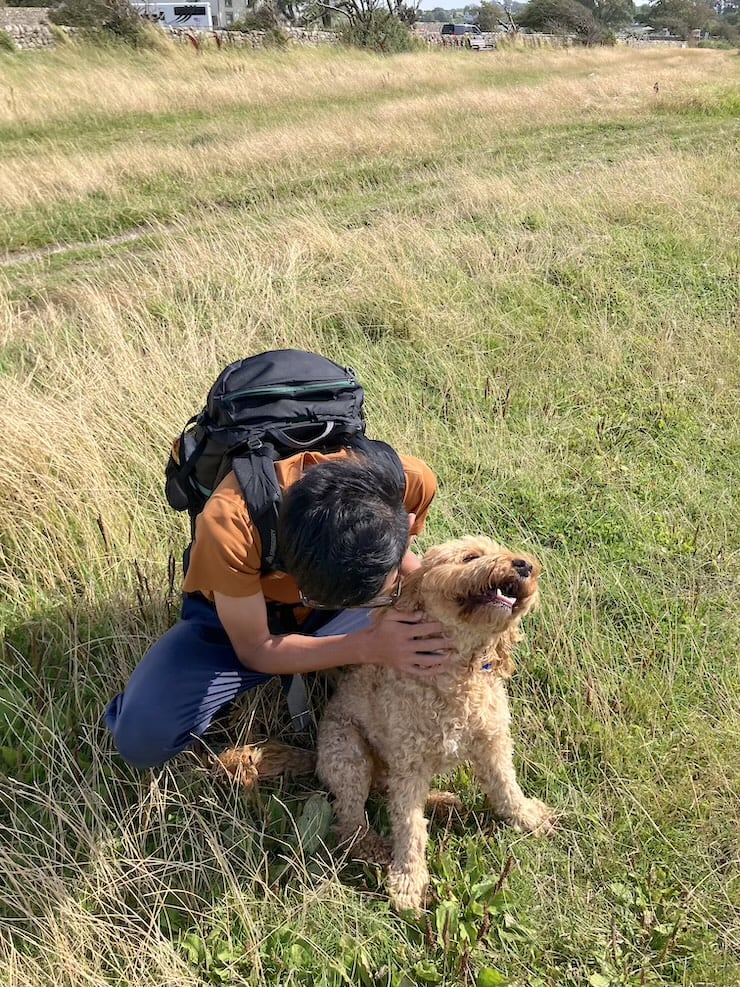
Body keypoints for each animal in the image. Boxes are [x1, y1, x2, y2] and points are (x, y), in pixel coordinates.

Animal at [316, 536, 556, 916]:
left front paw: (527, 817)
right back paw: (373, 846)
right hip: (348, 756)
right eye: (471, 557)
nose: (524, 565)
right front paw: (408, 883)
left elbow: (507, 787)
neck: (458, 674)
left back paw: (442, 800)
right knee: (350, 819)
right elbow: (410, 826)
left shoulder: (494, 743)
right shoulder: (410, 764)